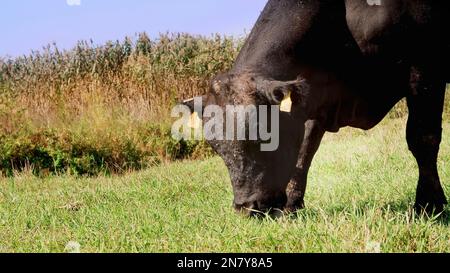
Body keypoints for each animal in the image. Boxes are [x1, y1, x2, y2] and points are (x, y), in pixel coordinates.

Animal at [182, 0, 446, 217]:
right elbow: (305, 150)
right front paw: (292, 205)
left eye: (262, 136)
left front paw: (429, 204)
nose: (246, 208)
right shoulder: (315, 97)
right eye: (217, 148)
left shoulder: (425, 68)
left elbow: (423, 138)